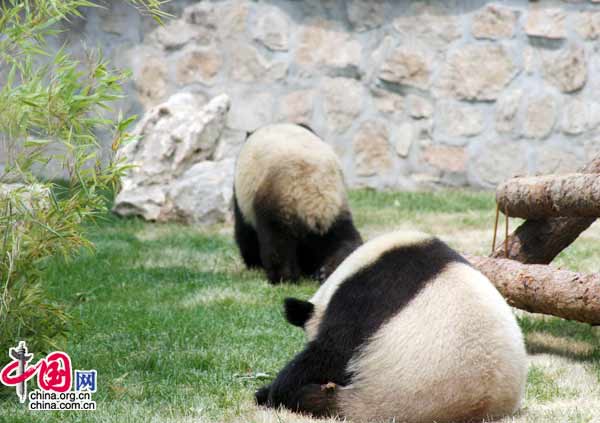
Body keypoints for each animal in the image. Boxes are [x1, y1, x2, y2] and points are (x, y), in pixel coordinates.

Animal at [255, 232, 528, 423]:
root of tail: (474, 411)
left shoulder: (363, 296)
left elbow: (332, 352)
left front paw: (273, 389)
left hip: (380, 398)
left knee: (310, 397)